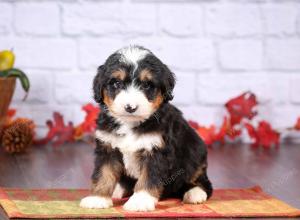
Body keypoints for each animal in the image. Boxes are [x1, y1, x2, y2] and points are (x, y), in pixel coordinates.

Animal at [78, 45, 212, 211]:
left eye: (147, 85)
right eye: (117, 83)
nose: (130, 107)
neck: (130, 123)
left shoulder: (156, 151)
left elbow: (148, 177)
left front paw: (140, 201)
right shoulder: (107, 147)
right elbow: (103, 173)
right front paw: (98, 198)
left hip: (195, 156)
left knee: (202, 182)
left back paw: (195, 193)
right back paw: (118, 190)